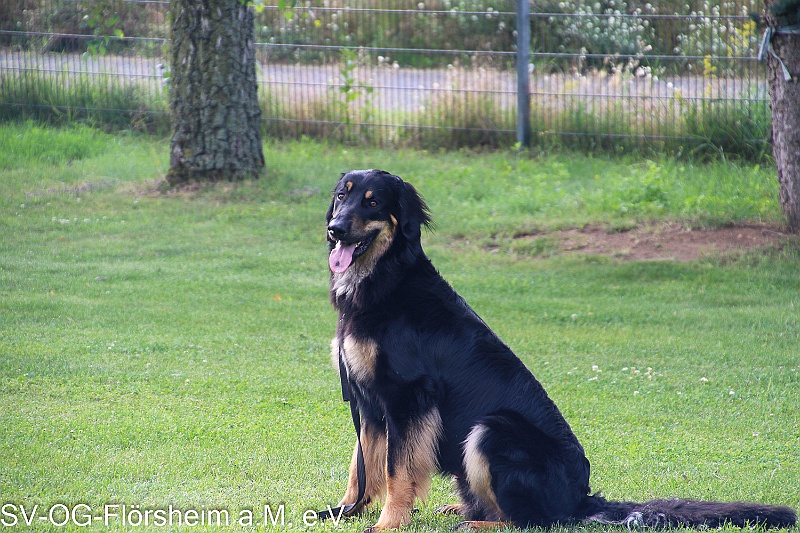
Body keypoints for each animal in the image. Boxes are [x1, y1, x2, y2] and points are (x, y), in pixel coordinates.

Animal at [324, 169, 797, 532]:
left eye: (372, 203)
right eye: (342, 196)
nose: (335, 230)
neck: (386, 279)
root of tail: (581, 498)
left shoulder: (408, 398)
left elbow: (396, 471)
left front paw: (388, 523)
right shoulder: (369, 402)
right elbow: (362, 464)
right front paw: (347, 510)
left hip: (491, 430)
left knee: (532, 521)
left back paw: (475, 522)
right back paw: (464, 509)